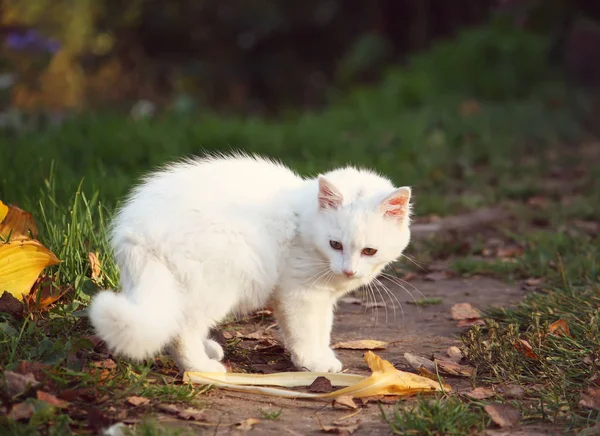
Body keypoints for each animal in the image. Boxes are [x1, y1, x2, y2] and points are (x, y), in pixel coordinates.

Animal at [89, 153, 412, 372]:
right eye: (336, 244)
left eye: (369, 251)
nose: (348, 270)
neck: (303, 220)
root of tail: (137, 230)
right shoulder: (299, 295)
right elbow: (306, 332)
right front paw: (311, 362)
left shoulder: (322, 298)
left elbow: (323, 329)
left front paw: (322, 357)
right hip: (218, 283)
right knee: (183, 330)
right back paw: (201, 368)